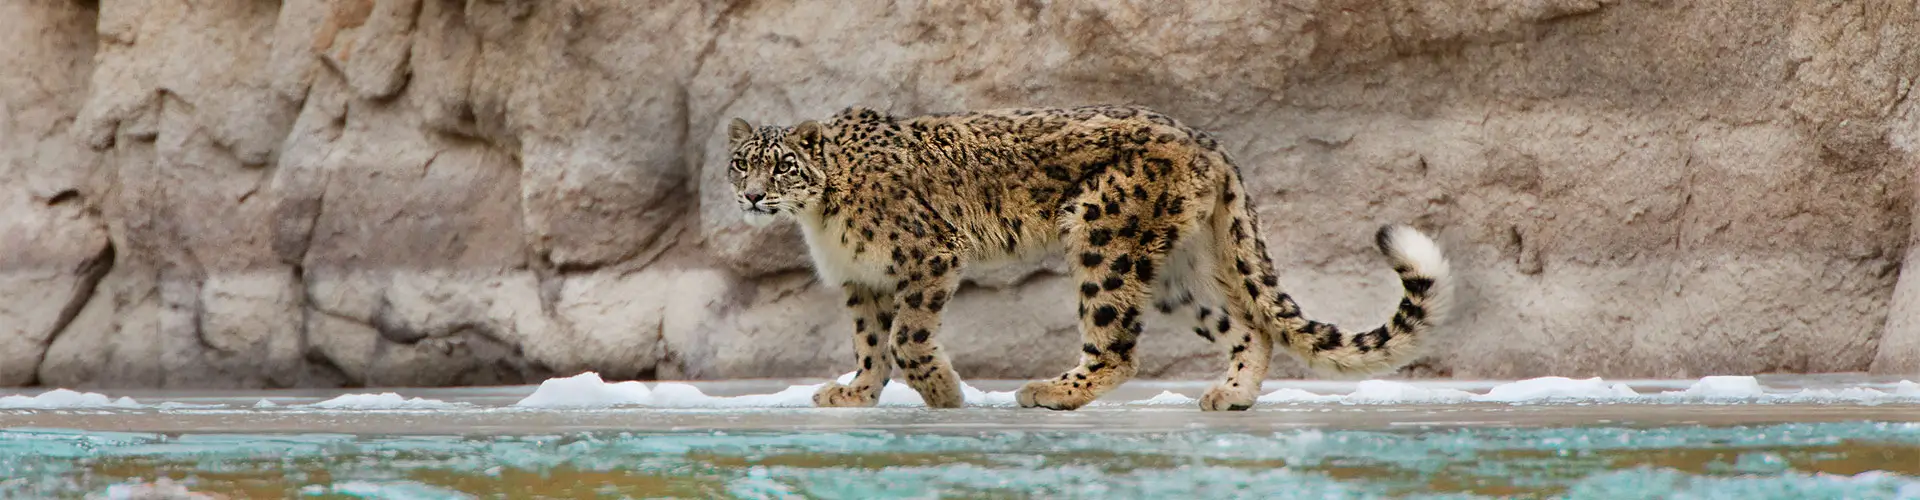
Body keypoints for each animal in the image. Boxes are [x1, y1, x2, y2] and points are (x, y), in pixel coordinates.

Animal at [723, 104, 1451, 411]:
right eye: (741, 163)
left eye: (783, 166)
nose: (753, 196)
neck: (820, 219)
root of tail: (1206, 141)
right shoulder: (861, 283)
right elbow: (871, 343)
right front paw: (855, 392)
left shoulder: (929, 258)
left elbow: (906, 338)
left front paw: (944, 393)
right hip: (1176, 272)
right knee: (1249, 325)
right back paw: (1232, 395)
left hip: (1103, 238)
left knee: (1117, 350)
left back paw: (1050, 391)